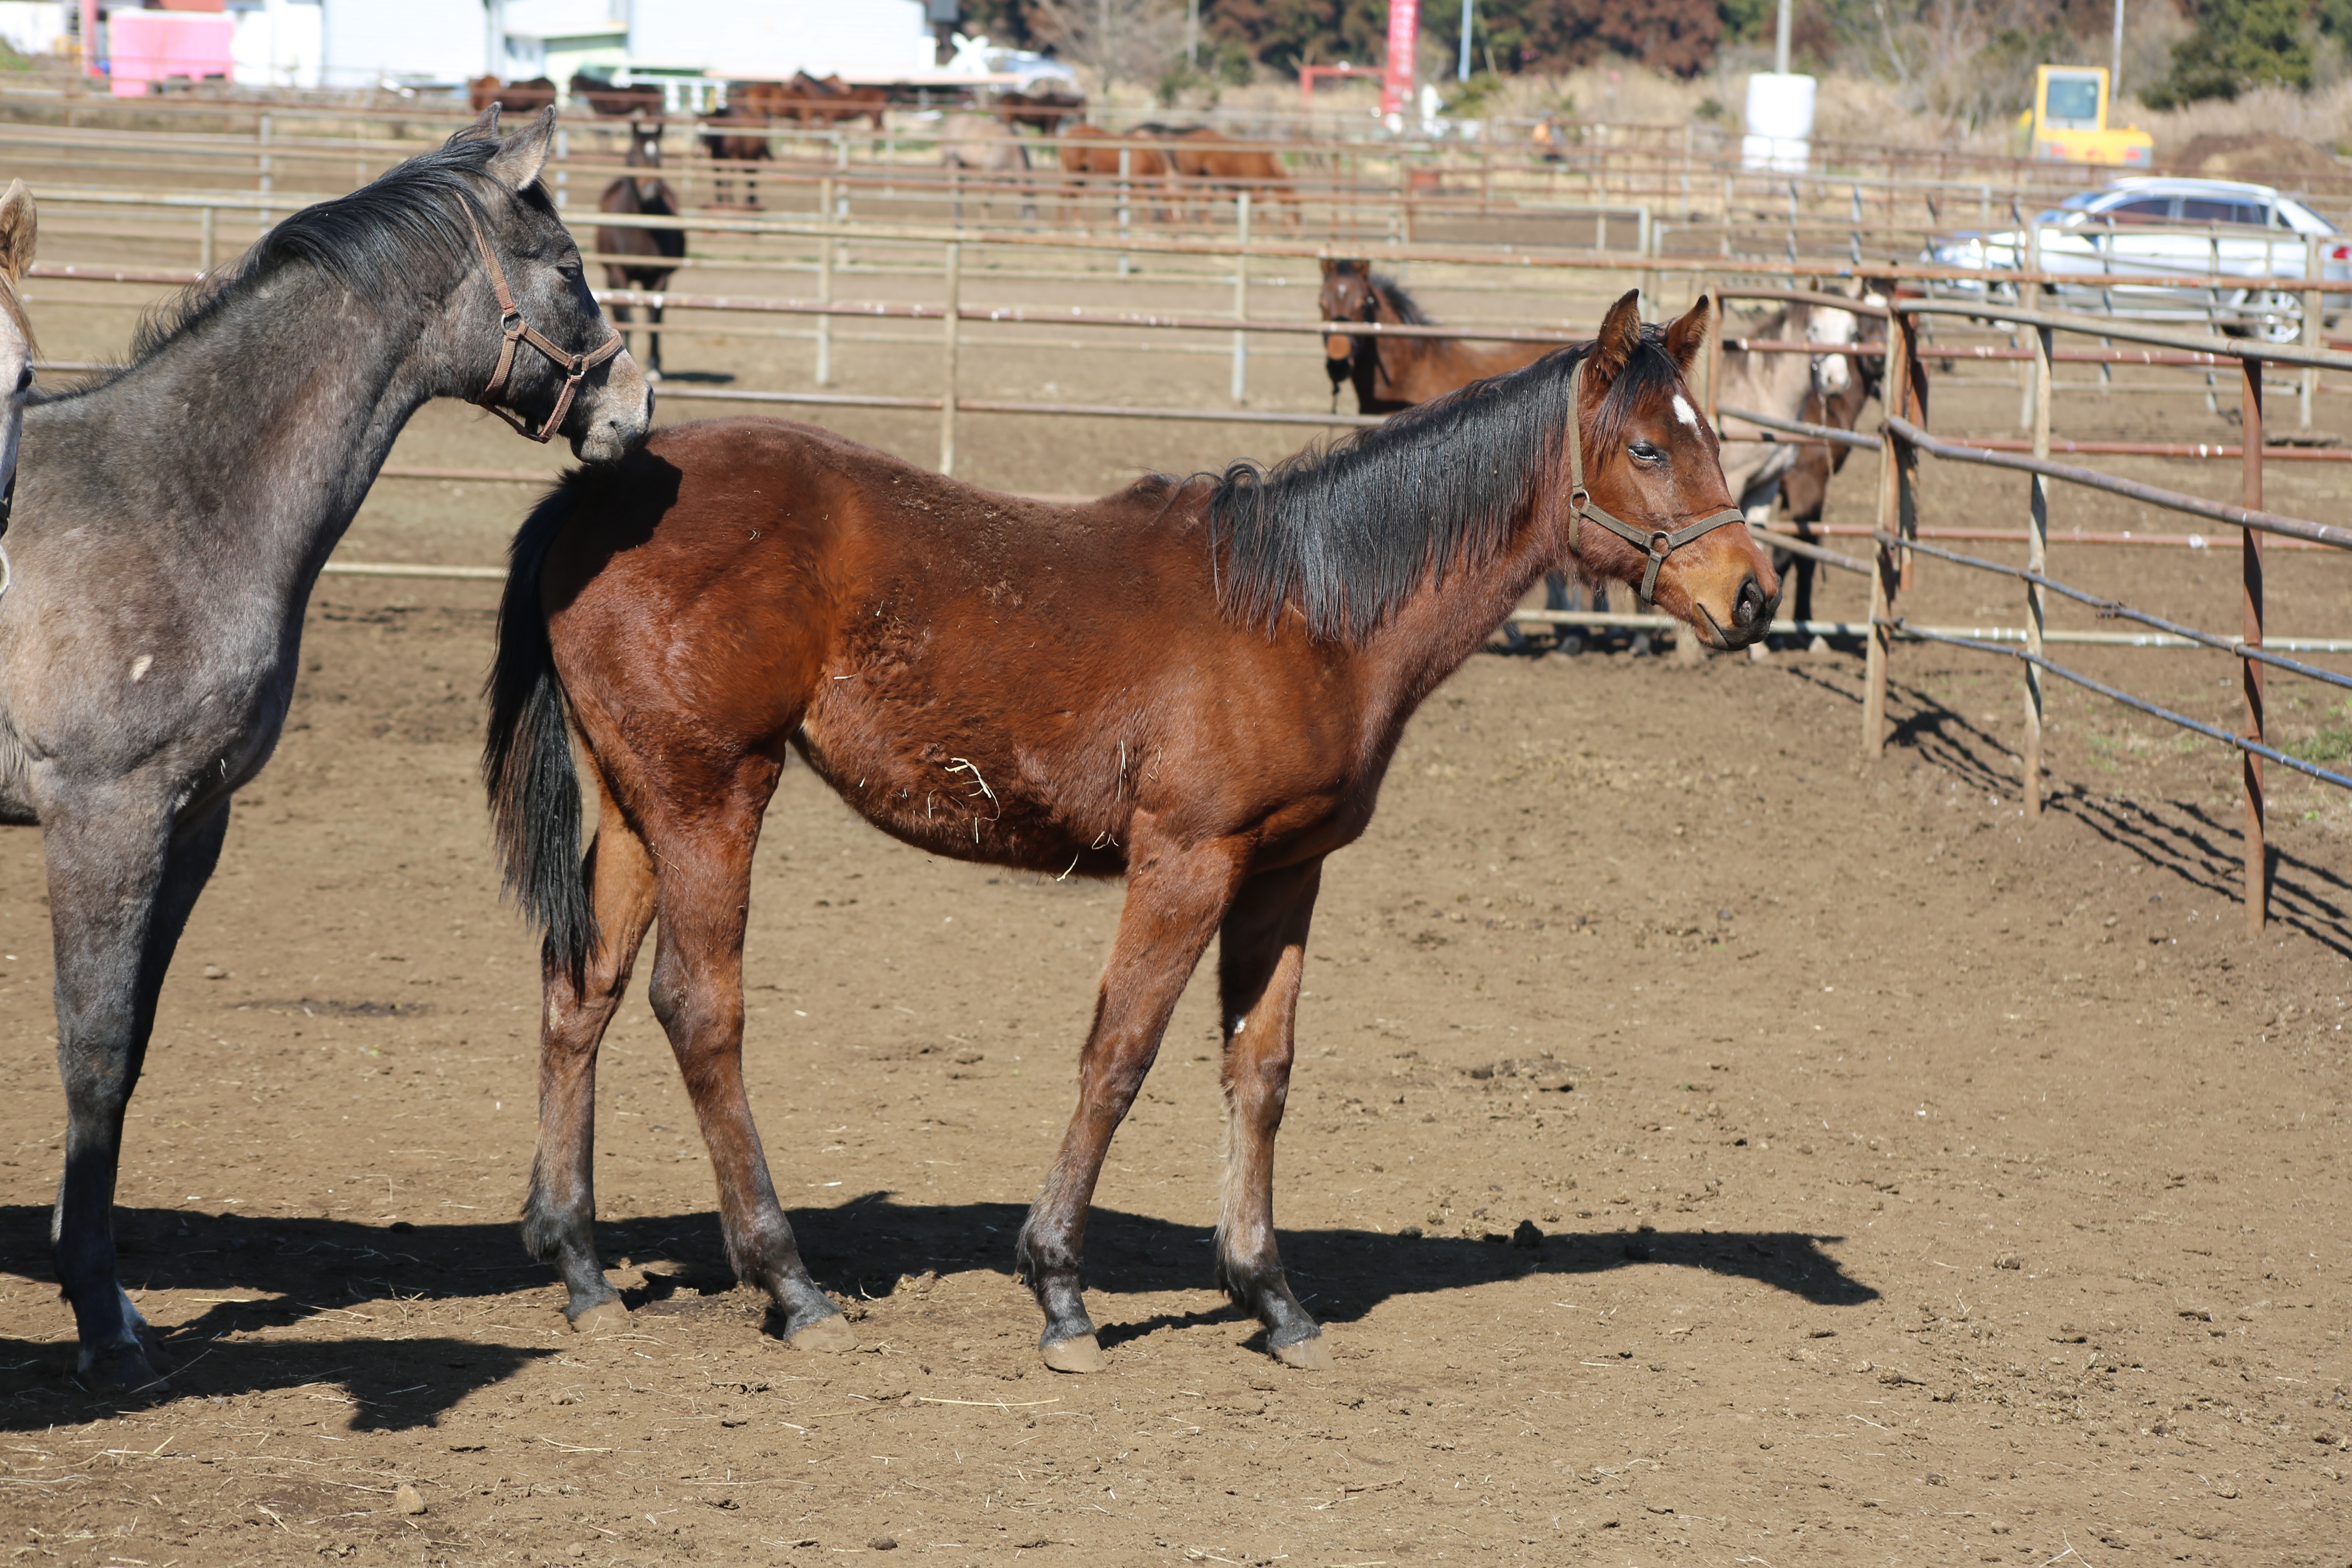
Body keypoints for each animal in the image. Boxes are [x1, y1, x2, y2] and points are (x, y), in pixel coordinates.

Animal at [16, 107, 654, 1382]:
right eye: (568, 269)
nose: (633, 407)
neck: (174, 494)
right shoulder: (102, 817)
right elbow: (93, 1052)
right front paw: (103, 1321)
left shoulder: (193, 822)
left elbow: (132, 1050)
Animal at [477, 291, 1768, 1373]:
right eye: (1646, 449)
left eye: (1713, 437)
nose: (1752, 595)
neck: (1305, 610)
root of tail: (591, 496)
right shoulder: (1185, 859)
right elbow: (1120, 1055)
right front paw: (1059, 1291)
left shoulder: (1283, 871)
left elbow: (1260, 1069)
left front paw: (1271, 1297)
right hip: (713, 795)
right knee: (699, 1009)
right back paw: (790, 1285)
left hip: (641, 802)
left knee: (579, 989)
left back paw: (580, 1264)